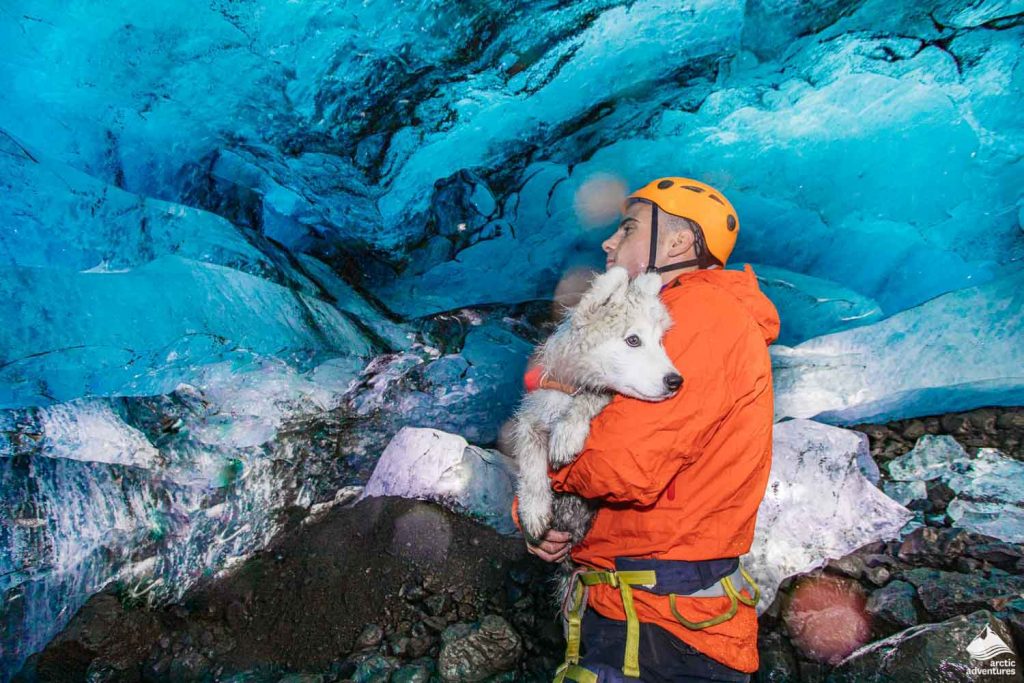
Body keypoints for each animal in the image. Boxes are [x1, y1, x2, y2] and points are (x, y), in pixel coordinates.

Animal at [508, 266, 682, 605]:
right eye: (633, 340)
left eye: (660, 341)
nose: (675, 381)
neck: (573, 384)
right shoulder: (532, 416)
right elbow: (531, 463)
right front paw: (532, 512)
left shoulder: (596, 396)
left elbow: (591, 399)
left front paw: (567, 434)